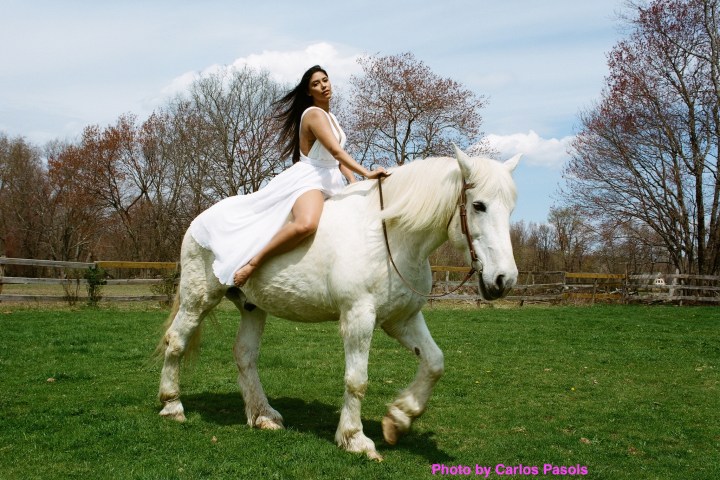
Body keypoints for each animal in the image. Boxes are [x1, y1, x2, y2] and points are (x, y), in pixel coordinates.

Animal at [157, 147, 520, 461]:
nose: (504, 279)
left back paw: (263, 416)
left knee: (245, 356)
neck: (387, 236)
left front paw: (399, 418)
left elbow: (434, 363)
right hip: (198, 299)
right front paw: (354, 438)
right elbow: (356, 380)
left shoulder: (403, 319)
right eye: (478, 205)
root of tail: (198, 220)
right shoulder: (359, 317)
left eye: (510, 209)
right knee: (176, 342)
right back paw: (172, 405)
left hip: (252, 308)